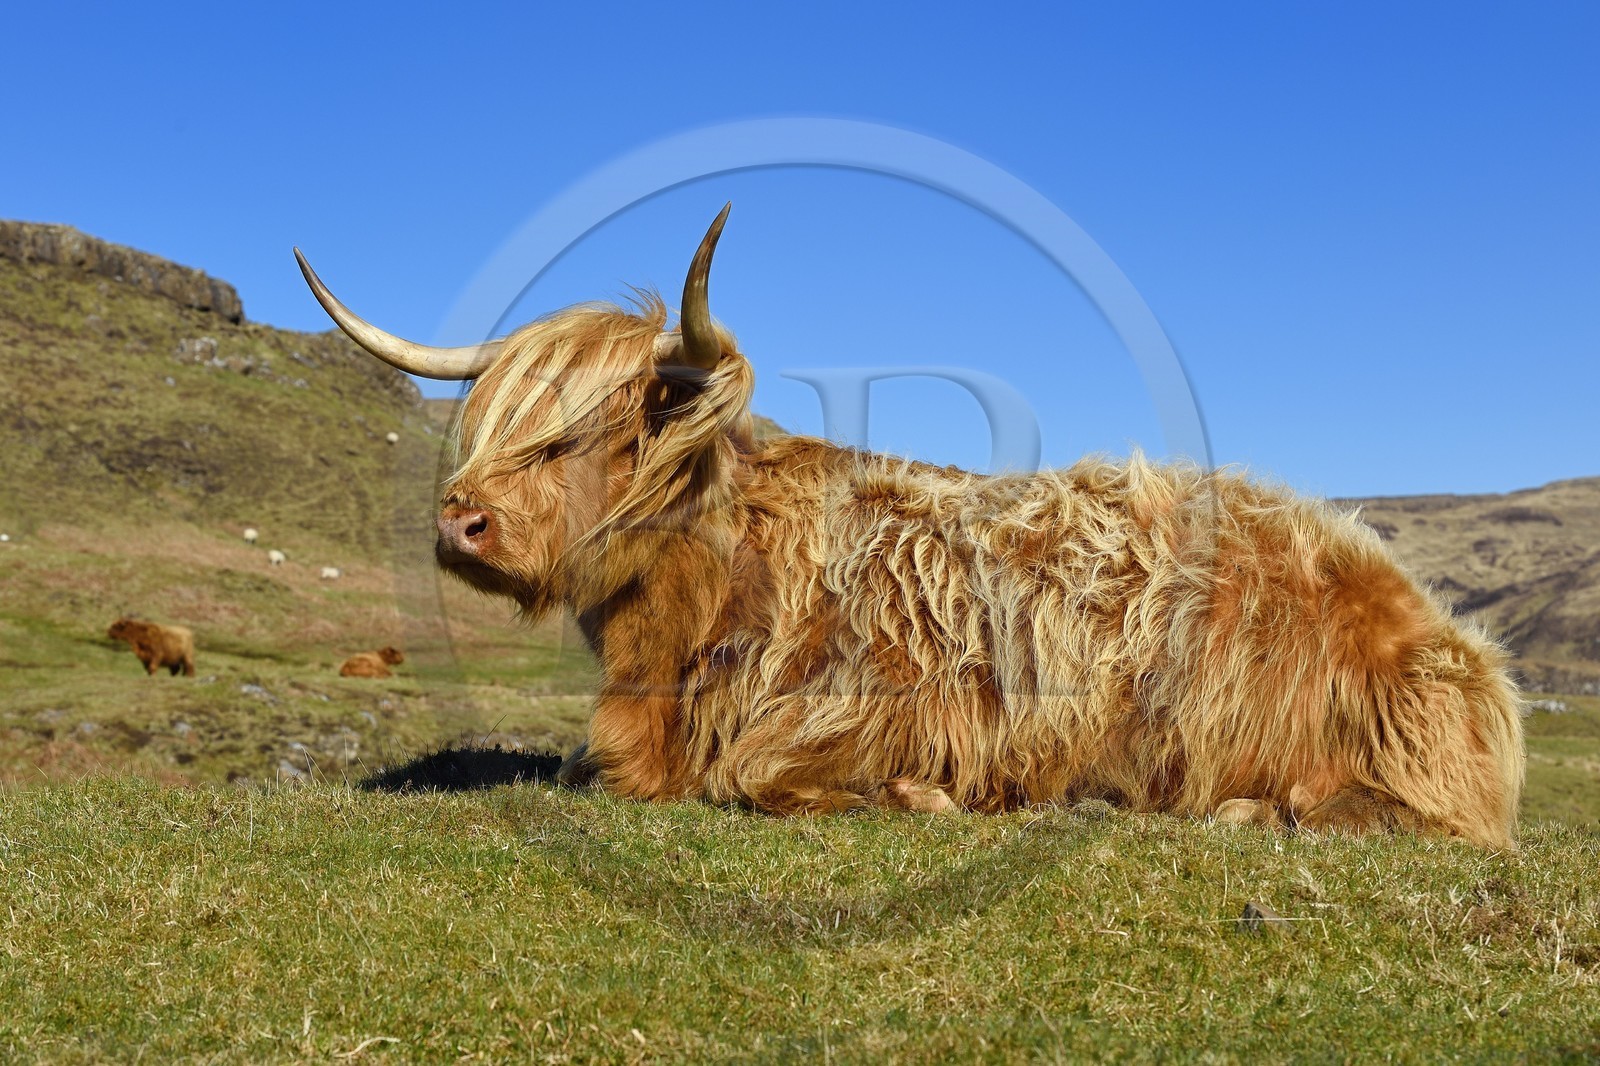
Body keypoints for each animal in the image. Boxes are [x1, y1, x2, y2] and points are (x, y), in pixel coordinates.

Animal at [295, 206, 1525, 847]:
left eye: (587, 434)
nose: (461, 523)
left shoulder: (893, 700)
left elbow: (762, 772)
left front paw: (923, 797)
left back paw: (1251, 808)